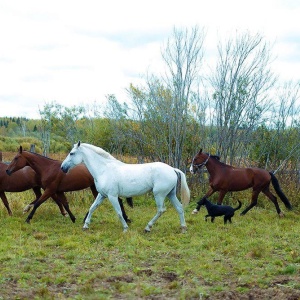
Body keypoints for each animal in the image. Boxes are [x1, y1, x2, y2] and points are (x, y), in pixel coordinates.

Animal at [61, 142, 190, 233]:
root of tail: (172, 169)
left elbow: (118, 212)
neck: (104, 170)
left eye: (72, 153)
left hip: (159, 195)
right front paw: (85, 226)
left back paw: (147, 227)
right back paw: (183, 228)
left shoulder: (112, 196)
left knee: (161, 210)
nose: (62, 167)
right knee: (179, 208)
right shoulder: (102, 195)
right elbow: (92, 208)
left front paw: (125, 228)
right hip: (170, 194)